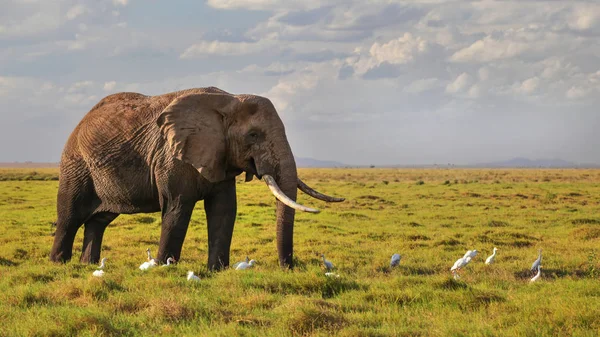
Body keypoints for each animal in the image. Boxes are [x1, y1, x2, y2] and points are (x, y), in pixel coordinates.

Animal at [49, 85, 344, 270]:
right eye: (253, 135)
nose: (288, 267)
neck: (228, 99)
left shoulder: (219, 155)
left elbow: (224, 209)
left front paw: (217, 271)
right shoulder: (171, 156)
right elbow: (178, 207)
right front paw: (164, 267)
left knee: (98, 221)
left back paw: (88, 264)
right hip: (75, 165)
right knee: (69, 217)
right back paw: (58, 264)